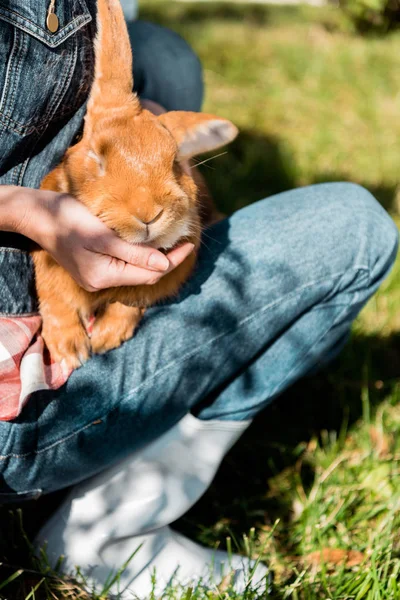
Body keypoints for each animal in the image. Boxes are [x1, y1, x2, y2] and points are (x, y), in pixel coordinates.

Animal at [32, 0, 238, 368]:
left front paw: (105, 338)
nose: (147, 214)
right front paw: (69, 350)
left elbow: (133, 299)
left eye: (175, 162)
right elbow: (55, 296)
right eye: (96, 158)